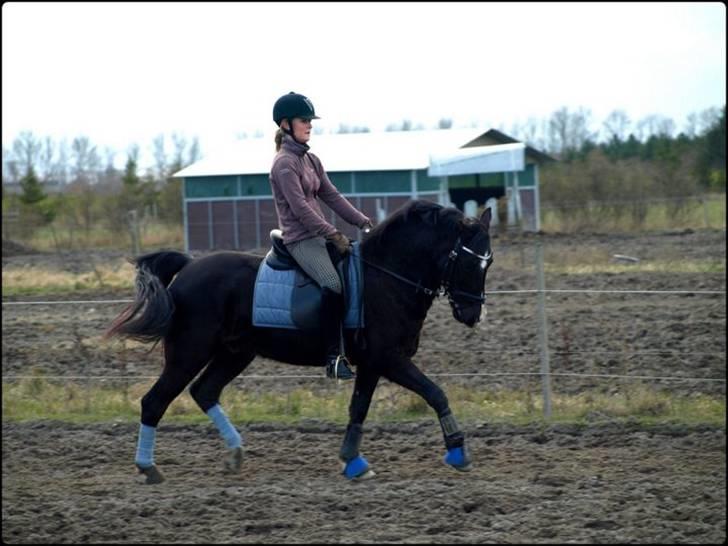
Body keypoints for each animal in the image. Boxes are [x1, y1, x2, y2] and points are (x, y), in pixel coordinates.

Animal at [106, 199, 494, 480]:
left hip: (235, 353)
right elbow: (435, 393)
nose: (472, 315)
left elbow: (359, 408)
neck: (387, 276)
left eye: (488, 263)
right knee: (154, 402)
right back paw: (149, 468)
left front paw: (352, 461)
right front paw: (458, 452)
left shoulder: (372, 364)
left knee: (204, 391)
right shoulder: (389, 359)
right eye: (471, 263)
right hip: (188, 353)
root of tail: (188, 268)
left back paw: (234, 454)